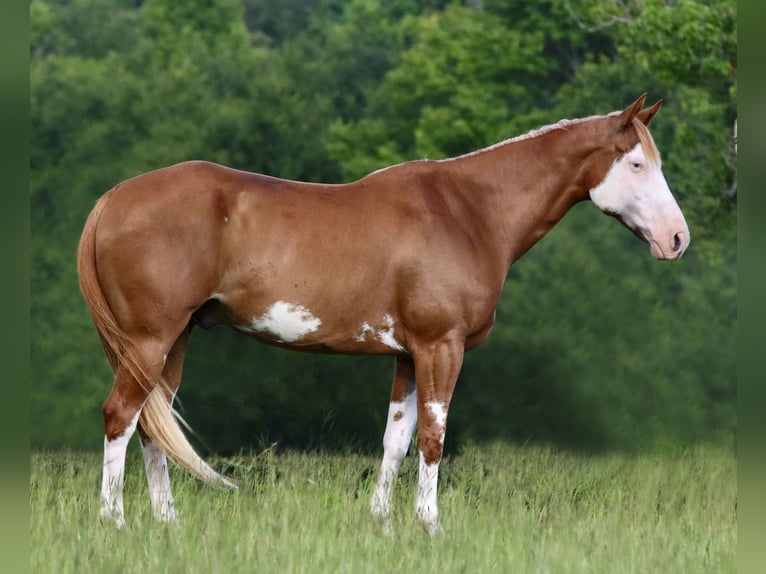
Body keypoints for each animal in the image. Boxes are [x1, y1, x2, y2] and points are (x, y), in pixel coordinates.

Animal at [77, 94, 689, 535]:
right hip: (149, 340)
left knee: (154, 426)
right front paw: (430, 527)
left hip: (176, 339)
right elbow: (434, 438)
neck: (468, 213)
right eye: (637, 163)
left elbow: (397, 439)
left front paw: (383, 524)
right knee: (121, 416)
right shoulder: (441, 347)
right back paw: (114, 523)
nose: (677, 239)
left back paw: (168, 523)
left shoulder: (408, 355)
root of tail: (111, 199)